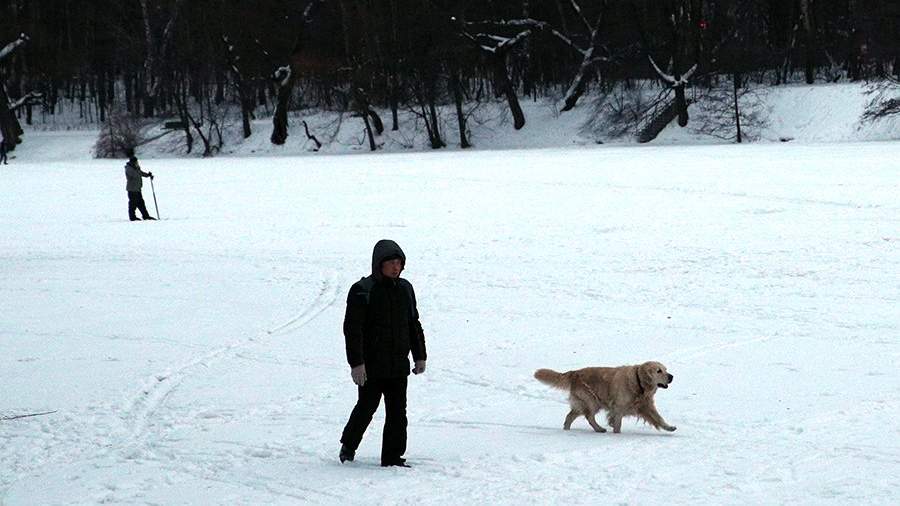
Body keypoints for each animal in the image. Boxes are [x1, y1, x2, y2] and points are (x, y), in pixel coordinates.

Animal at [536, 360, 676, 434]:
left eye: (665, 369)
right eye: (659, 371)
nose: (671, 376)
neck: (638, 383)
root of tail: (574, 372)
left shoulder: (646, 406)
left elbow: (659, 418)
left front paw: (669, 427)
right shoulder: (618, 408)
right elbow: (617, 424)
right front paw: (616, 433)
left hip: (584, 403)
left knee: (570, 416)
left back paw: (567, 430)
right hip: (591, 401)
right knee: (589, 417)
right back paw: (599, 429)